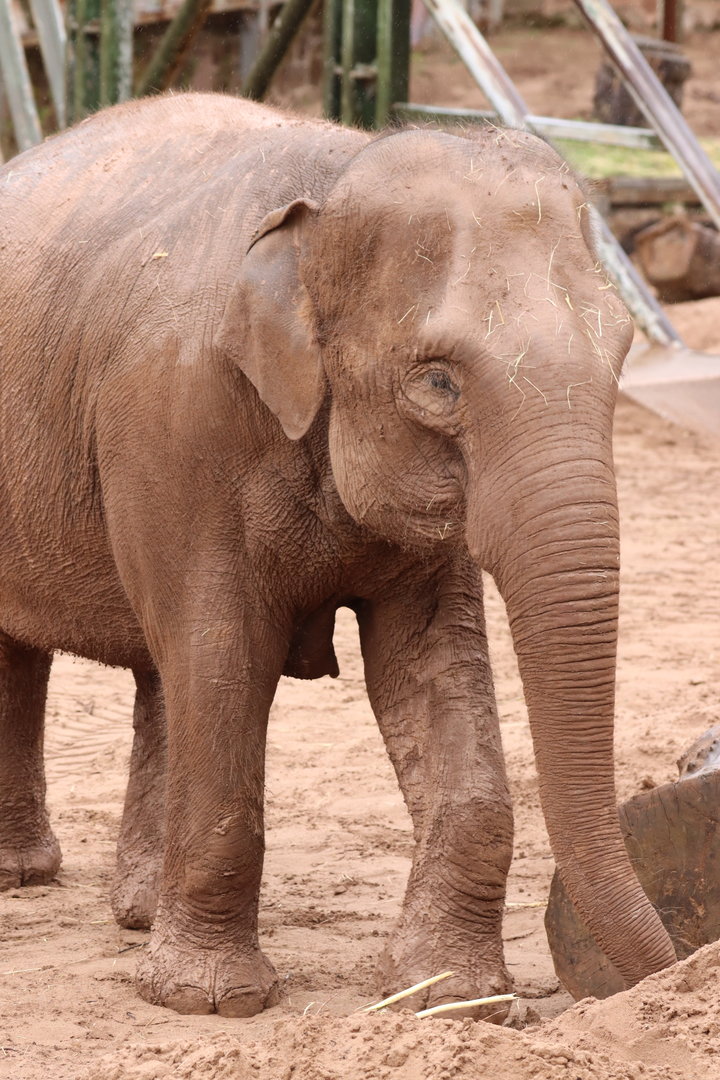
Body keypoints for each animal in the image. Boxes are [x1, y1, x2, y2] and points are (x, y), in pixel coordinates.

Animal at [0, 92, 676, 1018]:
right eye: (438, 382)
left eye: (620, 358)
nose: (673, 966)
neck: (333, 180)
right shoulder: (175, 421)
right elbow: (224, 653)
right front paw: (213, 1002)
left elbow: (430, 666)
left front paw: (455, 999)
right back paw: (25, 880)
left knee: (157, 668)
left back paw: (134, 911)